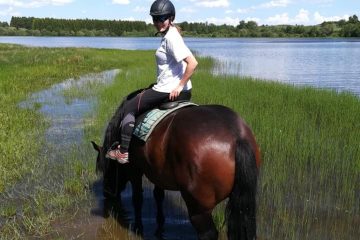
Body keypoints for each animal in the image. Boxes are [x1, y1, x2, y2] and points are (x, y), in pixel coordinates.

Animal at [92, 104, 262, 239]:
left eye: (106, 169)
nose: (106, 193)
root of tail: (237, 137)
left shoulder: (134, 169)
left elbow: (137, 198)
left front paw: (139, 227)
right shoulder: (157, 173)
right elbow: (158, 195)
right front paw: (160, 222)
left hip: (198, 209)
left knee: (208, 234)